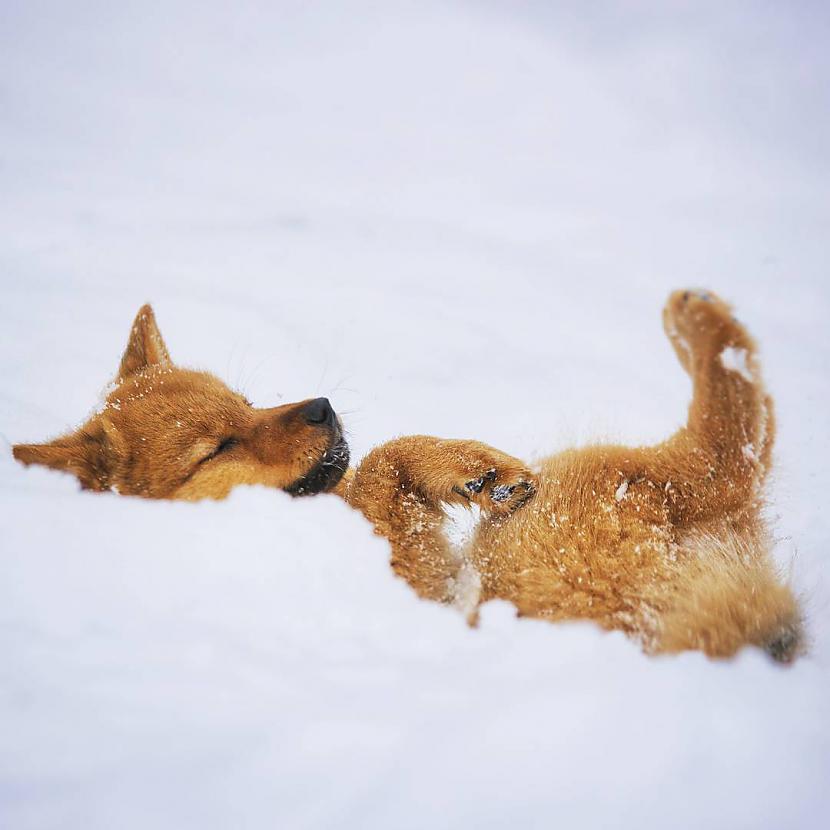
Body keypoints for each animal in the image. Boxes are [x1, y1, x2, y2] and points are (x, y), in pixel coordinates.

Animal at [14, 292, 808, 664]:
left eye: (246, 402)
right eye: (218, 448)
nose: (323, 407)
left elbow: (392, 450)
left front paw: (470, 464)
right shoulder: (406, 566)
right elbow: (382, 458)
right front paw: (471, 470)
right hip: (570, 512)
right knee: (726, 444)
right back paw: (697, 322)